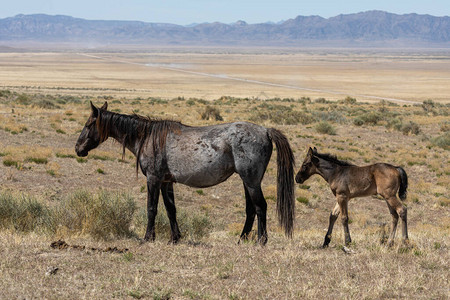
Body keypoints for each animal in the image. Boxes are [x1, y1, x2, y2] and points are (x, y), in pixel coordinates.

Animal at [74, 102, 296, 245]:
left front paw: (148, 238)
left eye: (88, 124)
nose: (78, 149)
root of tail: (265, 131)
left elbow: (151, 208)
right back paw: (241, 240)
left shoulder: (153, 179)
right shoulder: (166, 182)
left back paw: (261, 241)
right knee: (251, 209)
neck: (148, 138)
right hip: (247, 181)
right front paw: (174, 238)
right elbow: (171, 209)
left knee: (260, 207)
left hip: (251, 181)